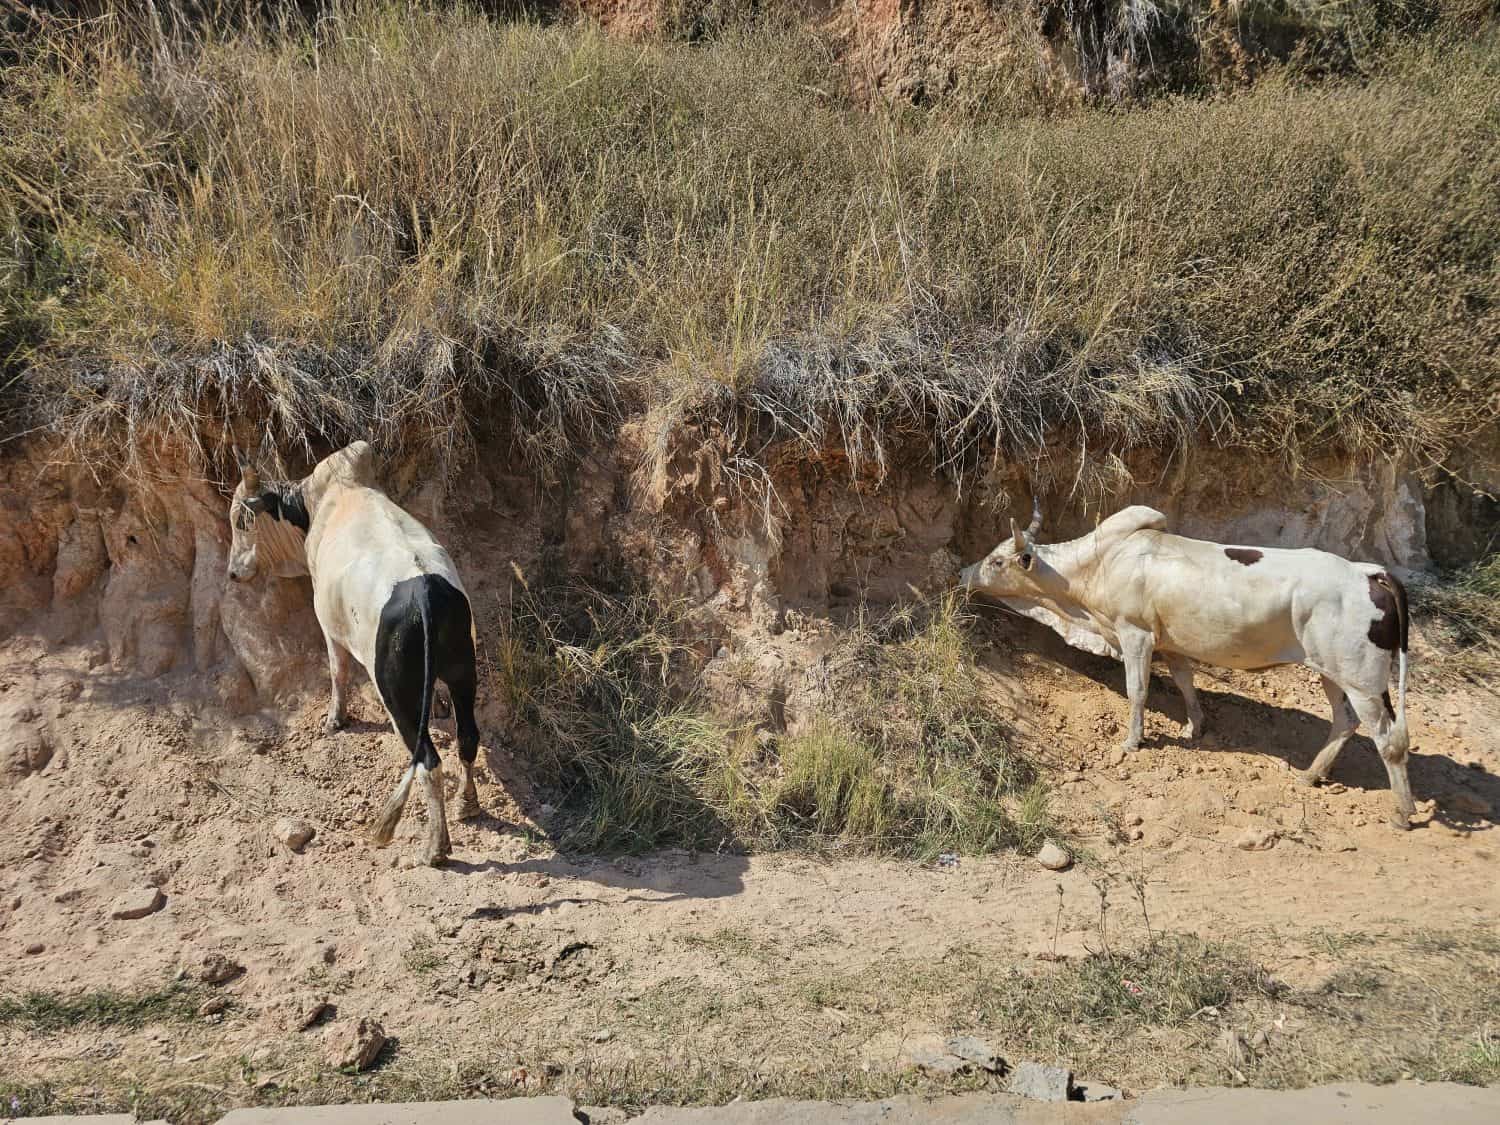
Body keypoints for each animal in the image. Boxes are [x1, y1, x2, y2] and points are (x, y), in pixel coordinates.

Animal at [226, 439, 483, 865]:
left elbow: (337, 671)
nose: (232, 573)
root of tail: (424, 591)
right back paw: (469, 805)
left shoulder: (329, 625)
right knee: (467, 737)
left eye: (240, 522)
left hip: (398, 696)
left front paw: (335, 718)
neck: (330, 499)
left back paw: (435, 847)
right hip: (464, 670)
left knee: (428, 761)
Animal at [960, 502, 1415, 829]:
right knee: (1345, 722)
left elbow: (1138, 690)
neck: (1100, 565)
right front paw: (1194, 726)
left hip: (1362, 680)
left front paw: (1132, 741)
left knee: (1388, 739)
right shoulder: (1170, 642)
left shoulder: (1136, 634)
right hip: (1331, 672)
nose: (964, 572)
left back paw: (1402, 812)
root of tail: (1367, 571)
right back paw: (1310, 775)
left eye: (997, 560)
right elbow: (1184, 681)